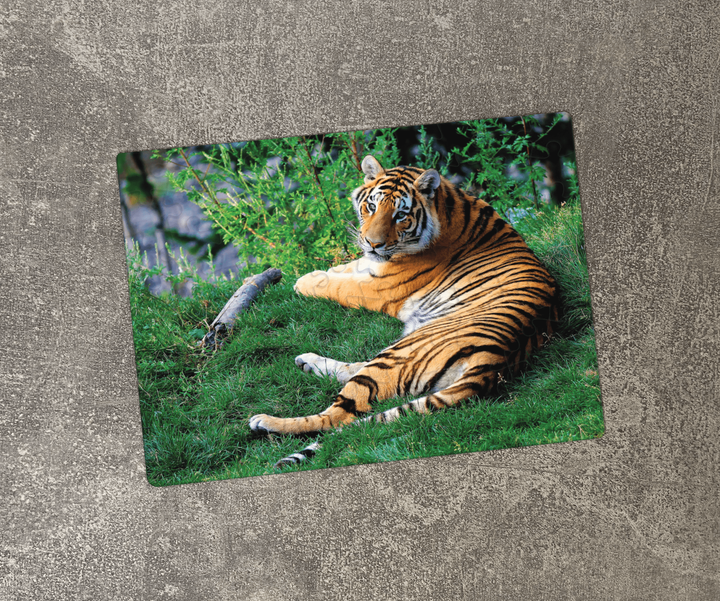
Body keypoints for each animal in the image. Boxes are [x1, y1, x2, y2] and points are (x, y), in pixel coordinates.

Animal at [249, 155, 559, 467]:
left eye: (400, 215)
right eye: (372, 206)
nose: (373, 243)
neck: (448, 205)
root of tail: (495, 362)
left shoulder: (380, 288)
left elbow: (338, 285)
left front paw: (304, 281)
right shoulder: (371, 265)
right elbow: (346, 269)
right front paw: (322, 271)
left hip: (400, 351)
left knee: (338, 416)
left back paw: (265, 421)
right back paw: (307, 362)